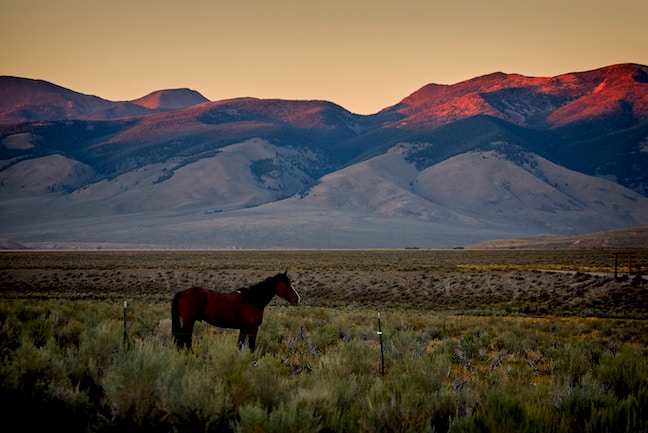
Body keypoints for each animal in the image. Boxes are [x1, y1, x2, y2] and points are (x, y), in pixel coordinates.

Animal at [171, 270, 300, 352]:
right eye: (286, 284)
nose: (297, 299)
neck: (253, 299)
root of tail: (183, 292)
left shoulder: (244, 329)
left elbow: (240, 345)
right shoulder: (252, 329)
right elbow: (251, 348)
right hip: (189, 321)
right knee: (185, 339)